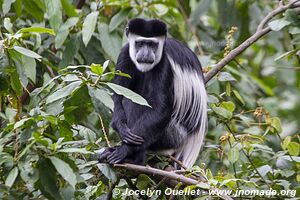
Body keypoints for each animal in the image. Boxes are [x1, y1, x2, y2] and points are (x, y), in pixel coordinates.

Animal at [98, 18, 206, 169]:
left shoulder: (165, 64)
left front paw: (124, 150)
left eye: (152, 44)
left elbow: (159, 109)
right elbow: (118, 95)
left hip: (173, 135)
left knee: (135, 104)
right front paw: (120, 126)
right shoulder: (125, 54)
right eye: (140, 43)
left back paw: (134, 159)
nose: (145, 54)